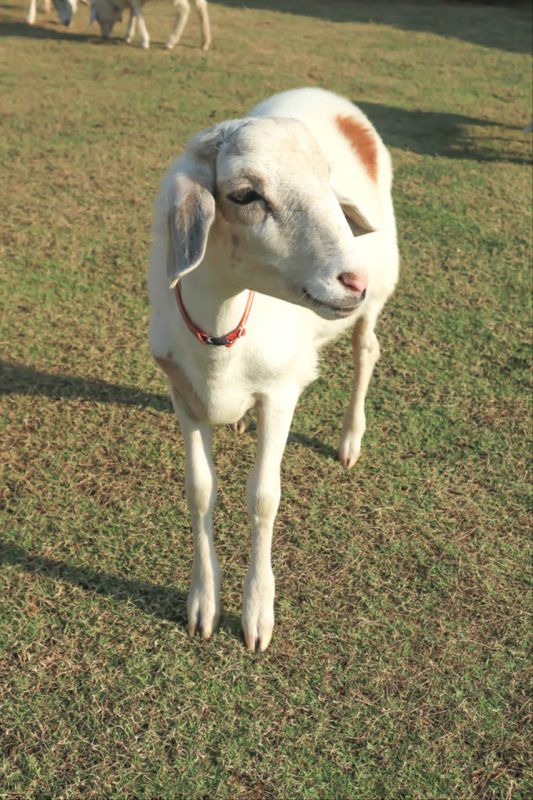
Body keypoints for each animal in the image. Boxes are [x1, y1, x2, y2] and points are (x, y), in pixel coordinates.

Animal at [148, 87, 396, 648]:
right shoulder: (183, 396)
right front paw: (204, 606)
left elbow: (263, 497)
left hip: (378, 296)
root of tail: (324, 93)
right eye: (244, 195)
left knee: (366, 351)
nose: (353, 280)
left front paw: (257, 615)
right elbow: (199, 491)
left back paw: (350, 440)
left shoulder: (282, 392)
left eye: (327, 179)